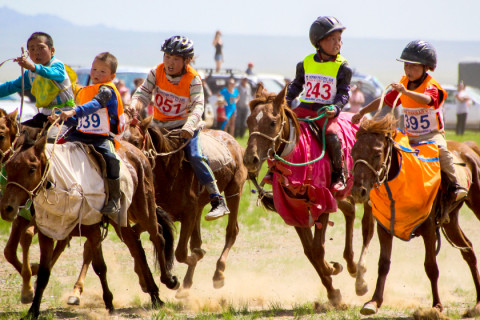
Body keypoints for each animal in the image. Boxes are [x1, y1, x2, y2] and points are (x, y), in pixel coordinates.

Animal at [0, 133, 180, 320]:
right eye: (9, 166)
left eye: (32, 168)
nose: (7, 208)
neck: (66, 188)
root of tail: (137, 153)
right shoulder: (47, 233)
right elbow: (44, 272)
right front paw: (33, 309)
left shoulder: (93, 230)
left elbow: (100, 267)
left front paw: (109, 303)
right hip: (120, 219)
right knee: (136, 247)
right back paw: (154, 294)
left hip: (144, 207)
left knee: (157, 237)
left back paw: (169, 281)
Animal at [124, 115, 248, 298]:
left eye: (136, 141)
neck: (170, 171)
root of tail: (234, 143)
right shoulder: (161, 215)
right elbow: (136, 234)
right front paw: (144, 281)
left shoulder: (188, 214)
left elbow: (181, 253)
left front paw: (198, 255)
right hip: (199, 209)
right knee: (197, 240)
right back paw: (187, 284)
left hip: (235, 190)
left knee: (232, 231)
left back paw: (218, 274)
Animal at [244, 84, 376, 306]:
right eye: (249, 121)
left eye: (272, 122)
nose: (249, 159)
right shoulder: (294, 208)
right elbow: (310, 251)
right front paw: (333, 291)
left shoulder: (323, 200)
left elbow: (317, 248)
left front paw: (332, 269)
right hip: (342, 195)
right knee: (350, 211)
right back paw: (350, 264)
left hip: (366, 192)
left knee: (367, 227)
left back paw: (360, 279)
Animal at [350, 114, 480, 316]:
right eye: (353, 152)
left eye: (377, 153)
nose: (358, 192)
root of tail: (469, 147)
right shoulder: (384, 228)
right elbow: (383, 263)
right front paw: (374, 302)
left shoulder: (428, 227)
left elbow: (431, 266)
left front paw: (437, 305)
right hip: (450, 221)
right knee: (468, 249)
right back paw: (477, 303)